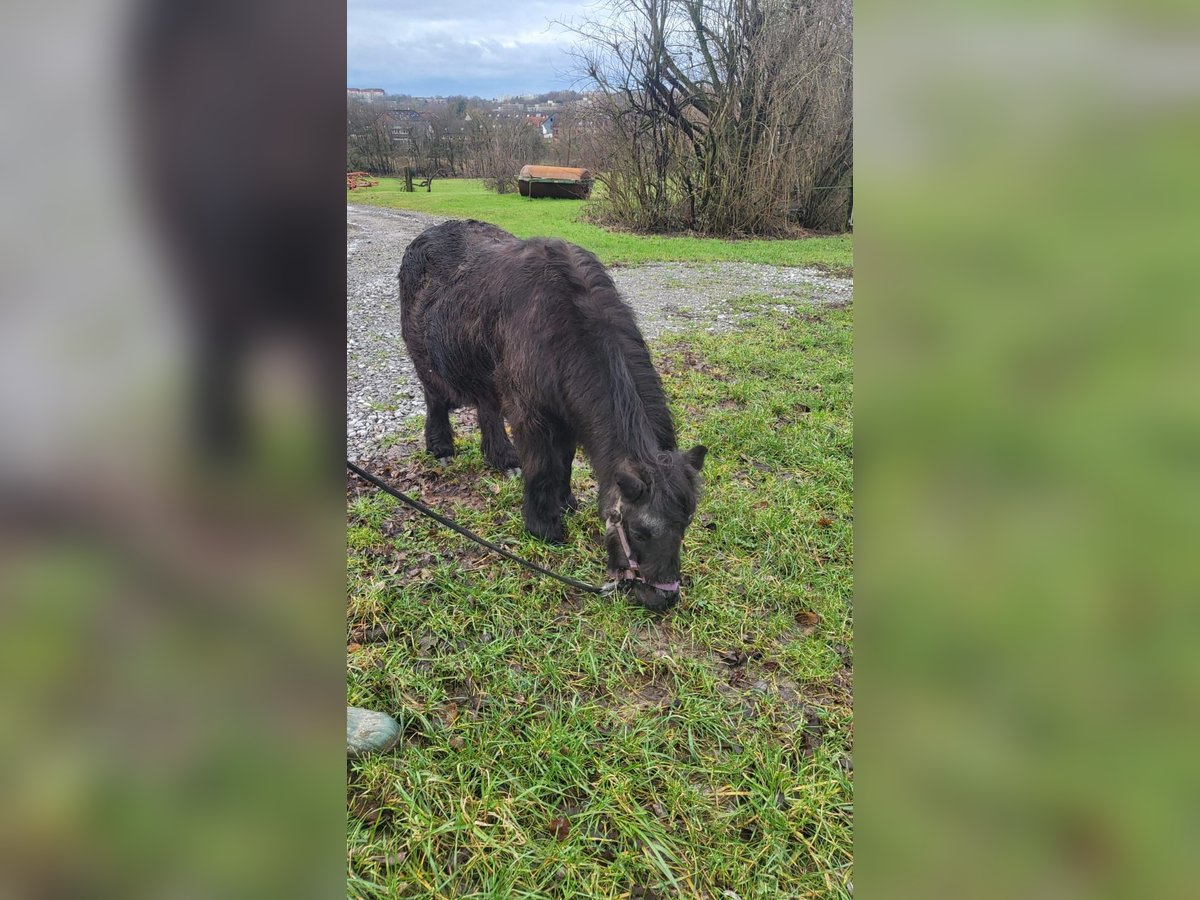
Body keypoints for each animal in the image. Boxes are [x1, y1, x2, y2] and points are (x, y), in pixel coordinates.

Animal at [398, 222, 705, 614]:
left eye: (685, 525)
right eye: (639, 531)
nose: (663, 598)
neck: (563, 326)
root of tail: (426, 236)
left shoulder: (568, 415)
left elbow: (566, 462)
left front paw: (566, 503)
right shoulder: (531, 414)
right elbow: (544, 466)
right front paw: (543, 526)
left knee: (487, 408)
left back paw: (502, 457)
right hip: (426, 360)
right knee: (435, 399)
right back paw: (441, 447)